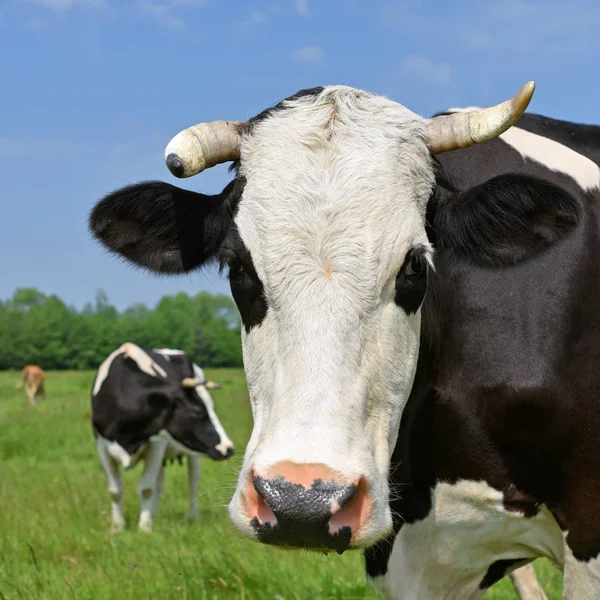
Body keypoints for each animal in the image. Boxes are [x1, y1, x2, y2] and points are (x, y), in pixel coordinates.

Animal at [93, 340, 234, 532]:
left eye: (212, 408)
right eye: (198, 412)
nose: (228, 447)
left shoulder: (157, 443)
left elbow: (146, 487)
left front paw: (144, 528)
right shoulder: (101, 445)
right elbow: (115, 491)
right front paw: (117, 527)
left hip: (193, 455)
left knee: (193, 481)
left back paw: (192, 516)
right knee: (159, 483)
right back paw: (153, 516)